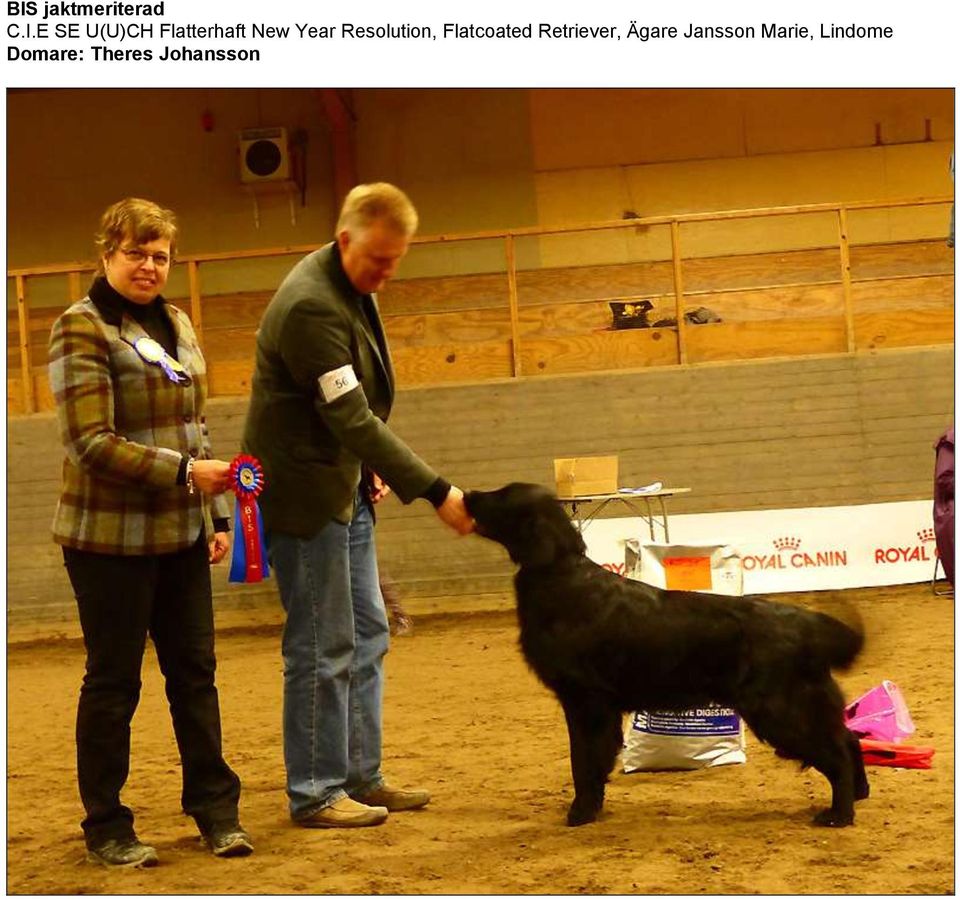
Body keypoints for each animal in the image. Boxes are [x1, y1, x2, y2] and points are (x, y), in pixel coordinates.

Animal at [464, 488, 872, 828]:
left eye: (503, 495)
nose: (467, 494)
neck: (561, 579)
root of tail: (805, 623)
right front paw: (593, 806)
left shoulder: (585, 700)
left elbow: (583, 761)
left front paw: (580, 812)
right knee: (849, 739)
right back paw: (859, 794)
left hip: (779, 712)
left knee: (837, 753)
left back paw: (839, 814)